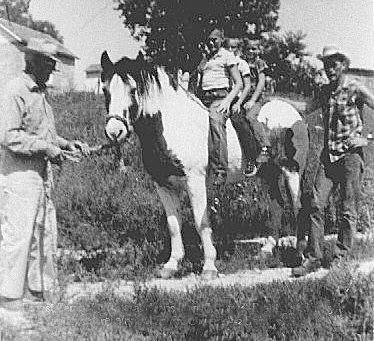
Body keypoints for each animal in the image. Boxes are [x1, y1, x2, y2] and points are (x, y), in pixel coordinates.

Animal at [101, 51, 308, 278]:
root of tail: (293, 112)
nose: (115, 132)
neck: (175, 124)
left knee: (298, 206)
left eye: (133, 89)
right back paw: (267, 250)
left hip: (292, 170)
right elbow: (174, 225)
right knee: (276, 205)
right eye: (105, 90)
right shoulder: (162, 184)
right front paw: (171, 265)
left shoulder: (195, 181)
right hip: (268, 174)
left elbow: (202, 223)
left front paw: (209, 266)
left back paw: (301, 253)